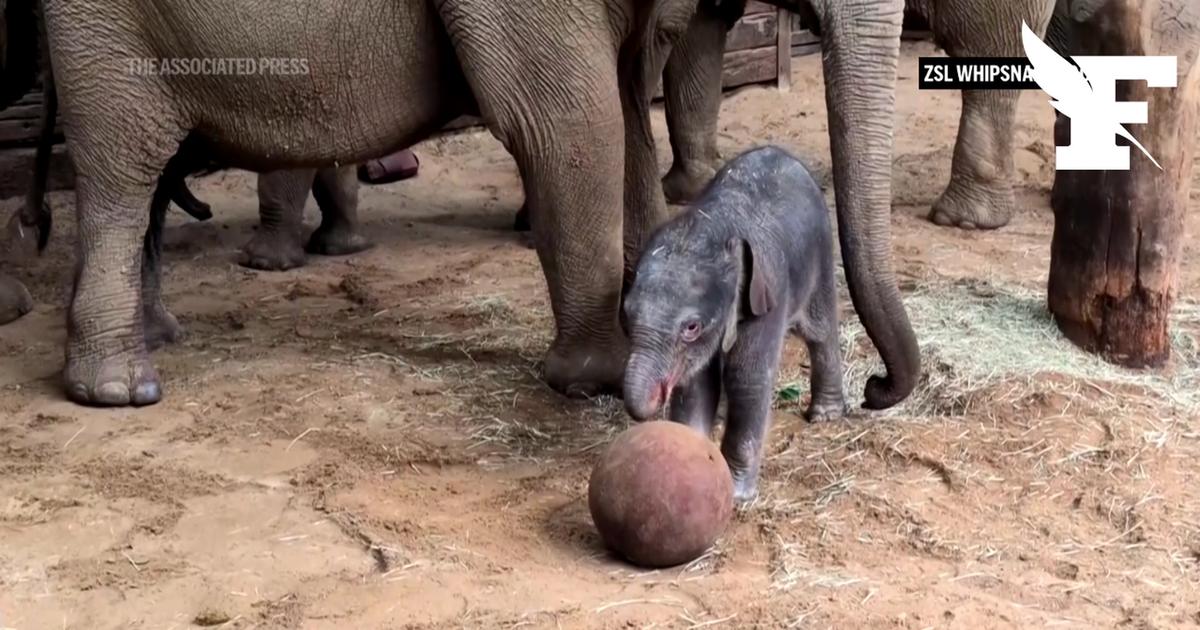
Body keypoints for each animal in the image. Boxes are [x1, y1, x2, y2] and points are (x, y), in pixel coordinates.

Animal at [622, 146, 845, 503]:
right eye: (627, 314)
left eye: (691, 327)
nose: (659, 392)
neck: (714, 225)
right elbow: (696, 383)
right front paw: (693, 451)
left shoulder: (767, 294)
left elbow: (747, 378)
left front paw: (738, 494)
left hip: (820, 254)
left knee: (819, 331)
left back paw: (825, 415)